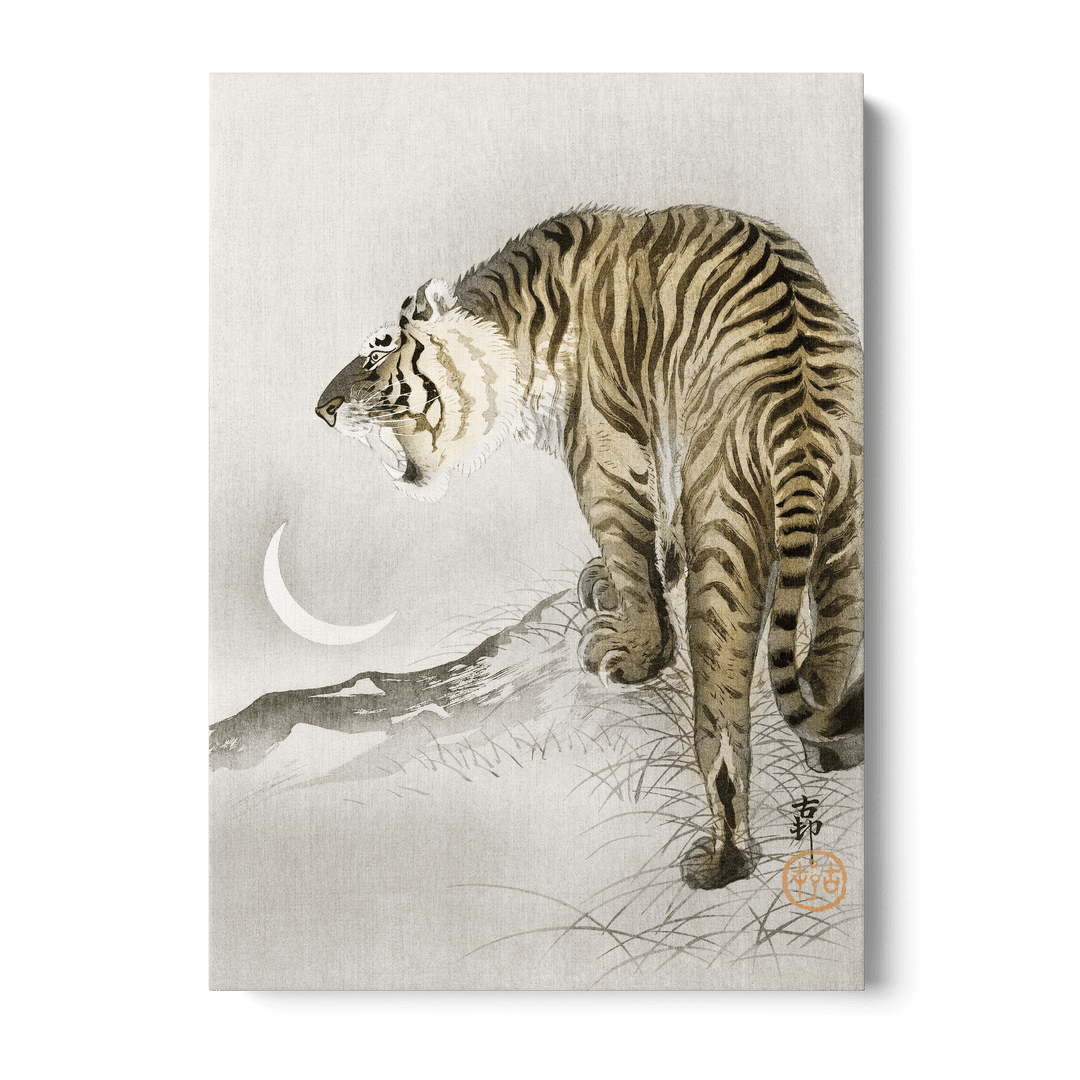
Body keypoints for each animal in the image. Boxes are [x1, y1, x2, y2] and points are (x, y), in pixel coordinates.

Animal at [316, 205, 864, 890]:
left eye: (378, 352)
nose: (322, 409)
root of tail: (802, 422)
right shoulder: (662, 436)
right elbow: (657, 528)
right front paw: (625, 576)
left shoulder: (603, 452)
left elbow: (630, 548)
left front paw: (634, 651)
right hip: (846, 532)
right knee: (831, 653)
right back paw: (833, 748)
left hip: (727, 535)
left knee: (723, 720)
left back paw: (722, 860)